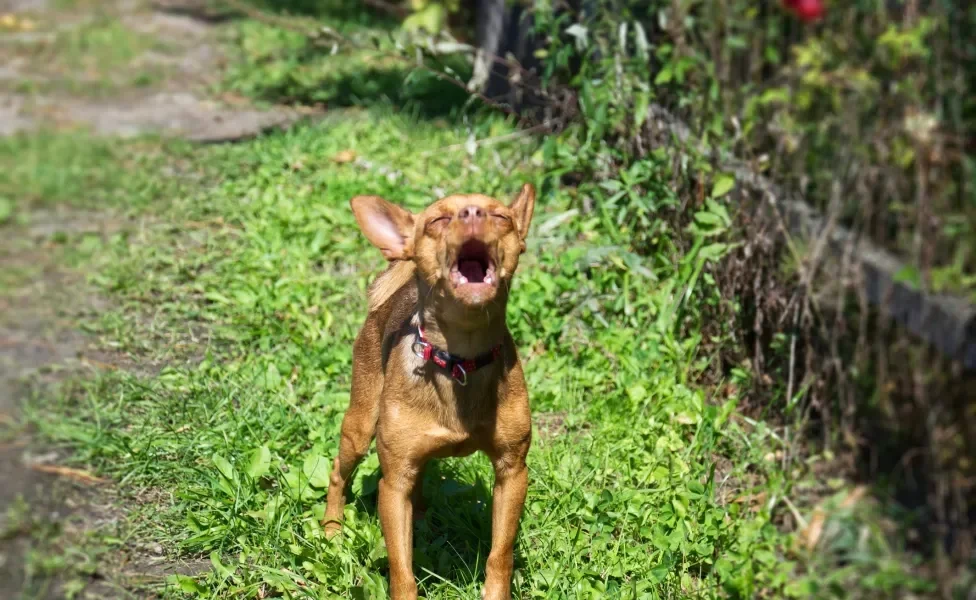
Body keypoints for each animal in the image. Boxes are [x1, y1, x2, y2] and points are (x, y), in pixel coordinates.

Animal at [326, 185, 540, 596]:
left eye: (501, 217)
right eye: (437, 220)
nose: (472, 213)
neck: (461, 359)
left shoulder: (512, 473)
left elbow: (500, 554)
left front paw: (496, 594)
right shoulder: (393, 486)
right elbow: (401, 568)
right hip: (359, 430)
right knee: (337, 474)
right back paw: (331, 531)